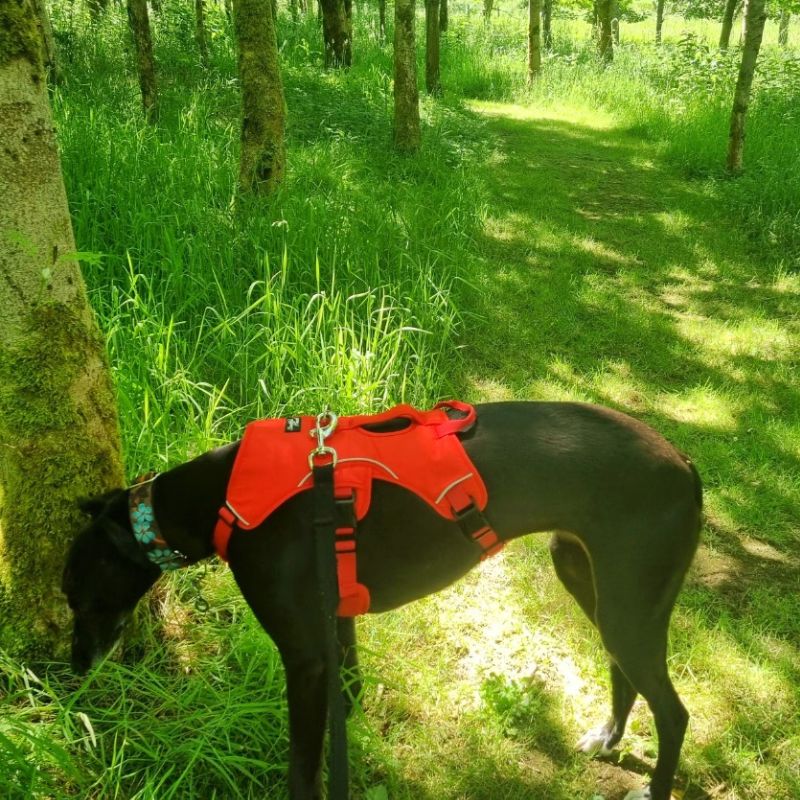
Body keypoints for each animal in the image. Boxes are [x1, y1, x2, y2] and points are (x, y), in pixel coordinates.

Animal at [62, 400, 700, 800]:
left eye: (73, 594)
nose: (74, 673)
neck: (222, 498)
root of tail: (688, 466)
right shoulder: (336, 627)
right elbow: (348, 703)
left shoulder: (304, 658)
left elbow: (302, 770)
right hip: (590, 581)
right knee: (622, 671)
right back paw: (608, 738)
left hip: (628, 604)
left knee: (674, 712)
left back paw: (654, 785)